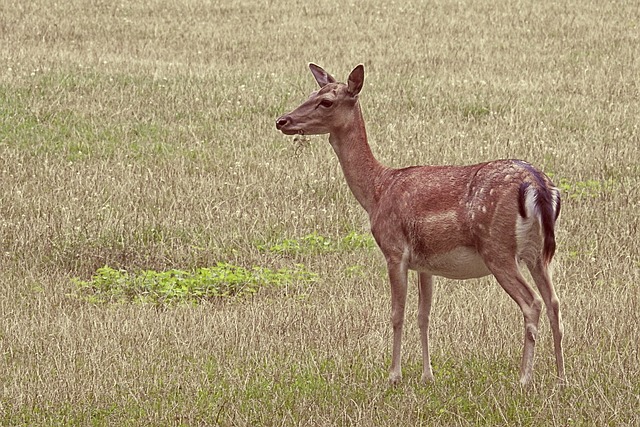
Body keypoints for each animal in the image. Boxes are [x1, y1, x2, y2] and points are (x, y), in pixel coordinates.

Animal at [276, 63, 564, 388]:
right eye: (312, 93)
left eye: (326, 101)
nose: (282, 120)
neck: (376, 191)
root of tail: (538, 186)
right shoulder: (426, 264)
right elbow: (424, 315)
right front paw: (428, 375)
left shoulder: (394, 250)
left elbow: (397, 314)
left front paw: (394, 375)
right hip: (538, 253)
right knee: (554, 302)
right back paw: (561, 377)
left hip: (498, 248)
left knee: (533, 303)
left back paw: (524, 379)